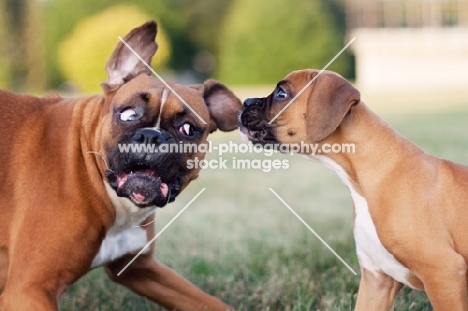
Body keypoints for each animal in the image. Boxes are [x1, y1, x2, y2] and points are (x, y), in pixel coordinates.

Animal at [0, 20, 241, 310]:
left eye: (188, 129)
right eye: (128, 114)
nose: (152, 136)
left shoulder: (140, 269)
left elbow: (210, 302)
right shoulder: (28, 290)